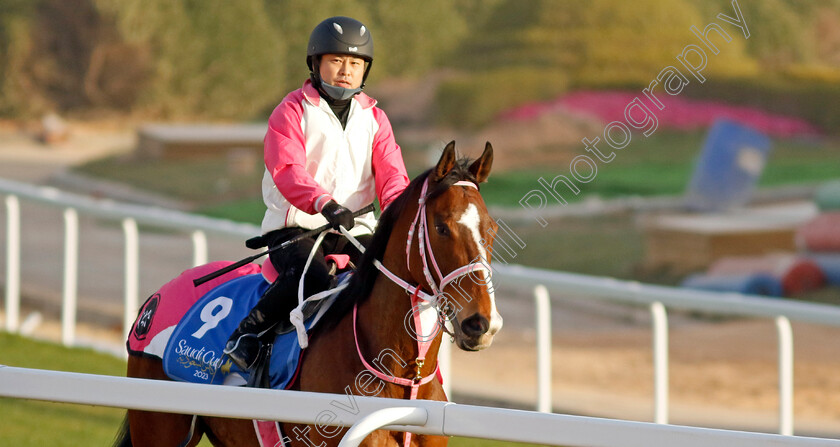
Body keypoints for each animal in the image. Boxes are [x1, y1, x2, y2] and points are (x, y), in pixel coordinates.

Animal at [115, 143, 502, 447]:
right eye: (441, 227)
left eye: (492, 229)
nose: (481, 323)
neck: (402, 374)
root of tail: (153, 304)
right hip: (158, 426)